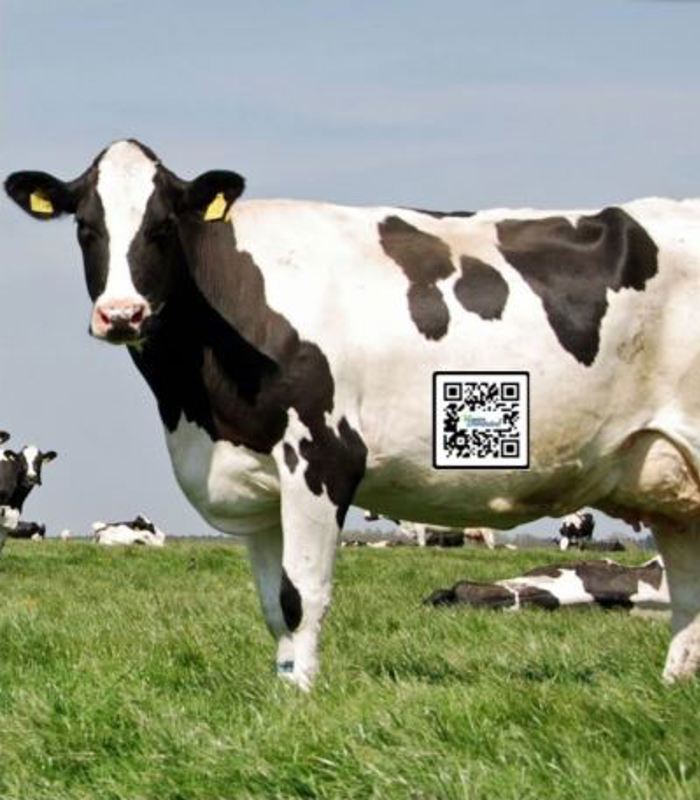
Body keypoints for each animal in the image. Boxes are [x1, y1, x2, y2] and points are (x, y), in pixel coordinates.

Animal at [7, 138, 700, 689]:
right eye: (86, 227)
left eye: (162, 227)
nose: (121, 314)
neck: (196, 407)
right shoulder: (258, 482)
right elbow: (272, 603)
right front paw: (282, 692)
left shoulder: (322, 454)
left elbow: (301, 596)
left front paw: (301, 700)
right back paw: (673, 687)